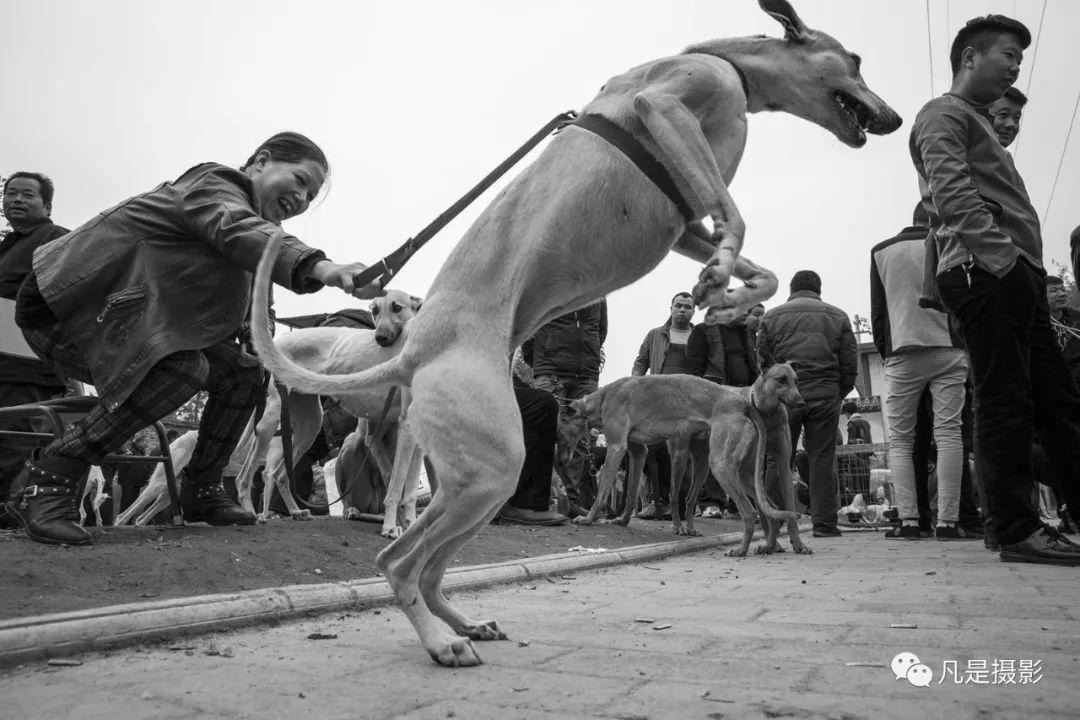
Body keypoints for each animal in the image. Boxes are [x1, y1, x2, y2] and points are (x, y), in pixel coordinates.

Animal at [248, 0, 898, 669]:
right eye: (855, 60)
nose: (896, 119)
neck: (729, 65)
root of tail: (415, 344)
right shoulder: (666, 107)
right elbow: (735, 217)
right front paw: (721, 279)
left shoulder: (684, 225)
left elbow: (750, 259)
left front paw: (729, 293)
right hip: (490, 463)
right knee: (398, 562)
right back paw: (440, 640)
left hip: (476, 479)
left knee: (427, 569)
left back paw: (463, 623)